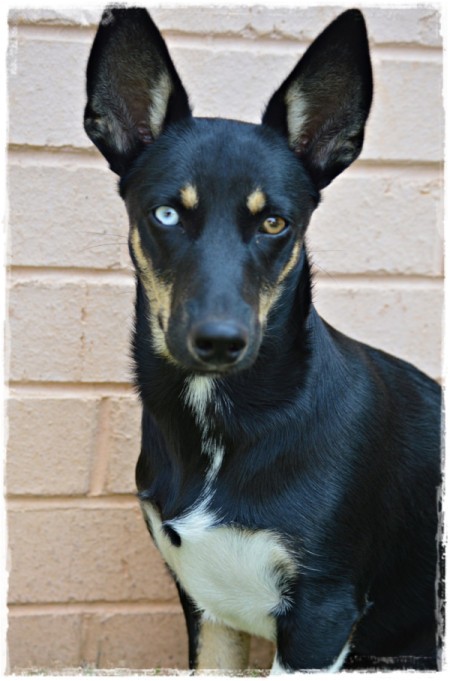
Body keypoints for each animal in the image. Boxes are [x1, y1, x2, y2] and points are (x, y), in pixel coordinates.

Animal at [82, 5, 442, 672]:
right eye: (166, 214)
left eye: (275, 222)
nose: (220, 342)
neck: (221, 422)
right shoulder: (209, 607)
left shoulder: (322, 615)